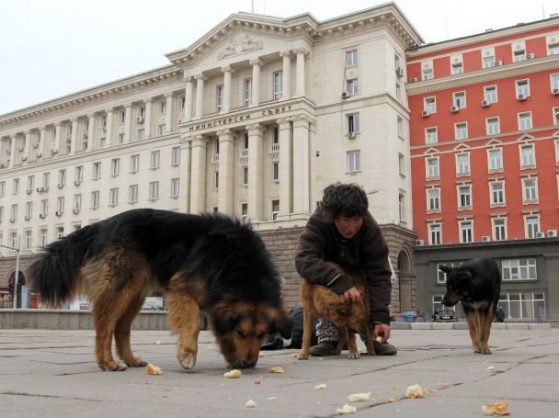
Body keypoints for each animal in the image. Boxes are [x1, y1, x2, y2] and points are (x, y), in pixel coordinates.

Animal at [29, 211, 294, 370]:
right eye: (241, 332)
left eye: (262, 335)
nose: (249, 364)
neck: (236, 262)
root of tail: (101, 225)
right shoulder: (182, 288)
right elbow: (192, 325)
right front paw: (187, 354)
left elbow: (219, 332)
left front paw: (231, 359)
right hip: (120, 288)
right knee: (104, 326)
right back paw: (107, 362)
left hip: (134, 294)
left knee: (121, 328)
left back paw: (130, 359)